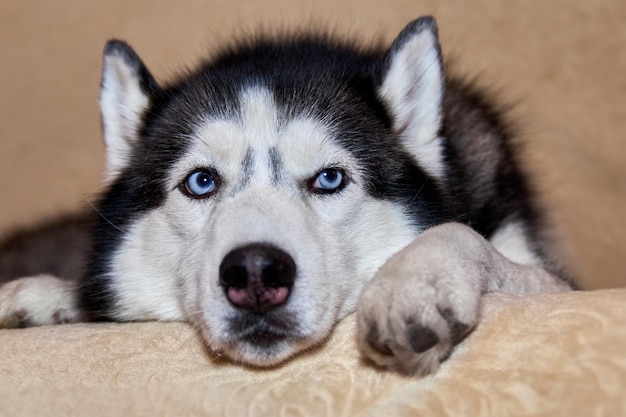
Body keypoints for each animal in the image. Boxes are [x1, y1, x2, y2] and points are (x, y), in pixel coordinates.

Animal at [0, 16, 572, 374]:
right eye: (201, 181)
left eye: (329, 179)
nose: (255, 273)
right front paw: (51, 295)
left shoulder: (554, 279)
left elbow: (463, 236)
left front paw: (415, 279)